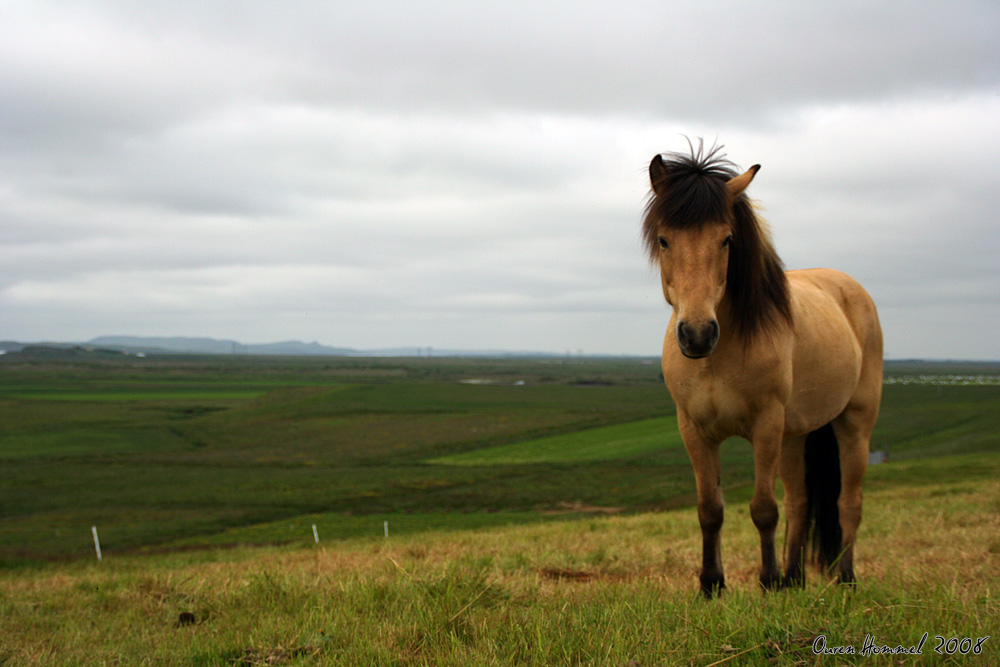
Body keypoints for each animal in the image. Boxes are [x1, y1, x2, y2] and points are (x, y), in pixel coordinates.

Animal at [640, 142, 884, 596]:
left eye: (726, 239)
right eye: (664, 239)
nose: (697, 334)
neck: (718, 358)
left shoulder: (766, 425)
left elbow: (764, 508)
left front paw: (767, 581)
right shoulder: (694, 431)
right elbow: (710, 509)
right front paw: (711, 584)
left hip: (853, 424)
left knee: (848, 503)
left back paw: (843, 578)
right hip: (795, 434)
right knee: (801, 501)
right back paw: (794, 578)